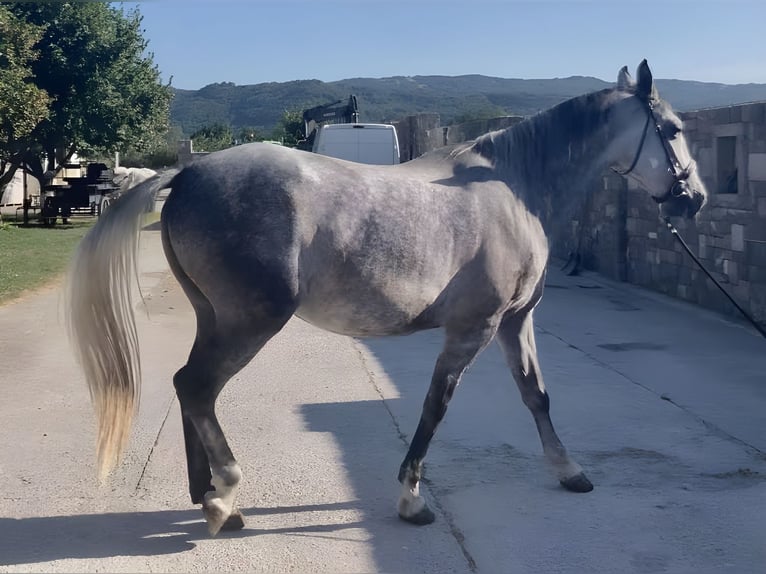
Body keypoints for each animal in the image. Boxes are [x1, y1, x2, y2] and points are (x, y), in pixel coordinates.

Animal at [67, 60, 708, 536]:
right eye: (674, 130)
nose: (695, 198)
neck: (511, 189)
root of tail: (188, 174)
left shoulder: (515, 322)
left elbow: (537, 396)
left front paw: (569, 469)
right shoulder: (472, 330)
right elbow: (434, 408)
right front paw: (411, 499)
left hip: (214, 319)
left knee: (189, 387)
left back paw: (206, 497)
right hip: (250, 322)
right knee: (197, 388)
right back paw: (224, 495)